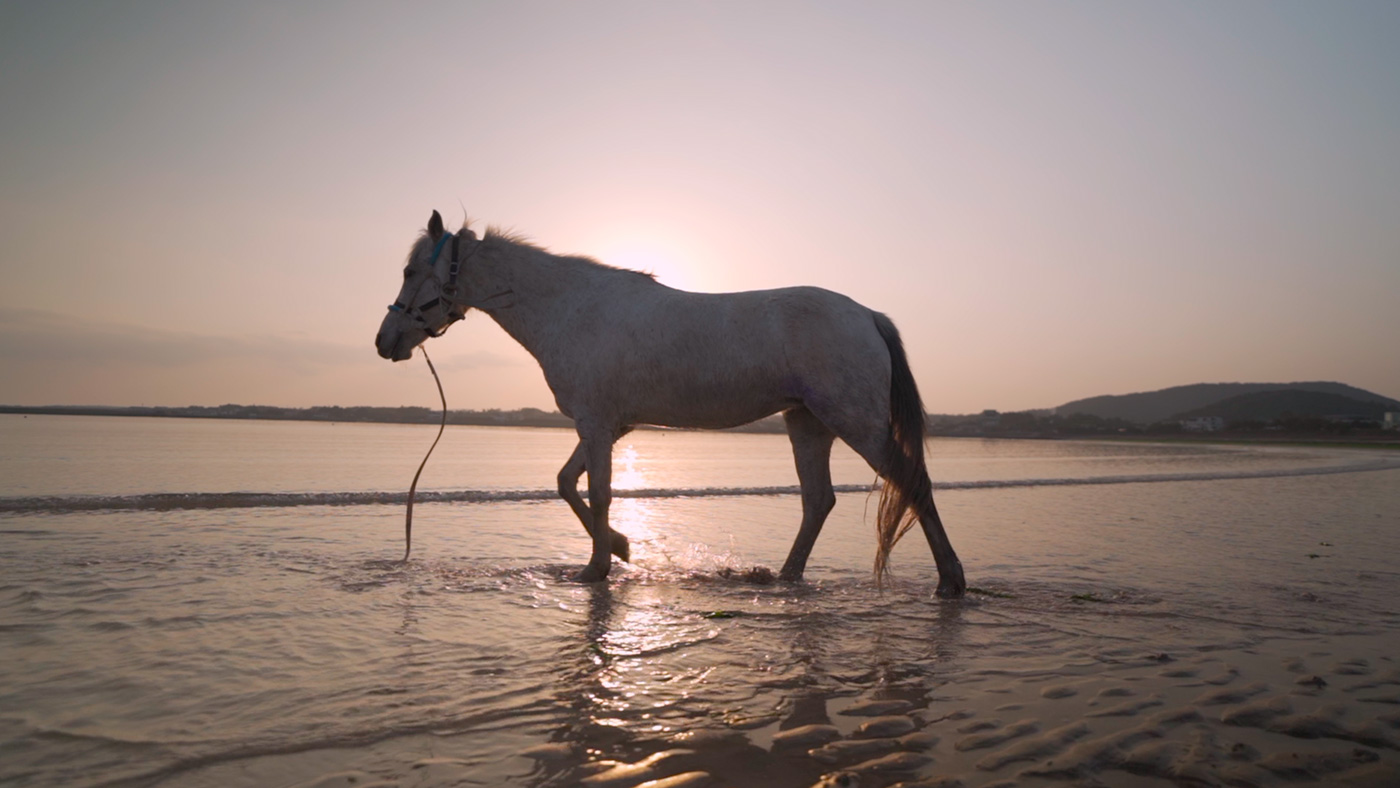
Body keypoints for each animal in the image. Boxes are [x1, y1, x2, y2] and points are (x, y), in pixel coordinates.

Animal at [372, 211, 963, 599]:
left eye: (409, 273)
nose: (385, 341)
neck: (571, 309)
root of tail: (867, 314)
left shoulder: (596, 424)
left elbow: (599, 492)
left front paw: (598, 567)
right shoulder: (607, 427)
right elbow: (566, 483)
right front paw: (620, 547)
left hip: (856, 423)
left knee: (912, 483)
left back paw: (950, 580)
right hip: (807, 424)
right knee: (818, 501)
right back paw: (786, 578)